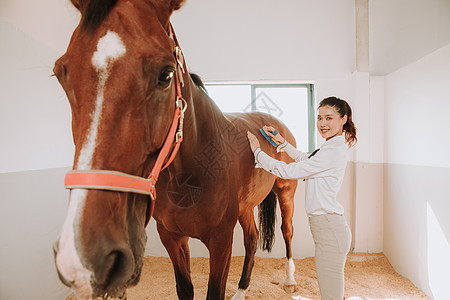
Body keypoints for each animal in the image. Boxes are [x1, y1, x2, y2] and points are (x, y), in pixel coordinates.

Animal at [51, 1, 298, 298]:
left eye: (166, 74)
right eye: (61, 74)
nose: (86, 256)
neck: (190, 177)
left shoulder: (221, 240)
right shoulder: (171, 236)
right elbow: (185, 288)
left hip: (285, 193)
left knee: (287, 231)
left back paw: (290, 280)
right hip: (246, 206)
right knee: (252, 239)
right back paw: (241, 290)